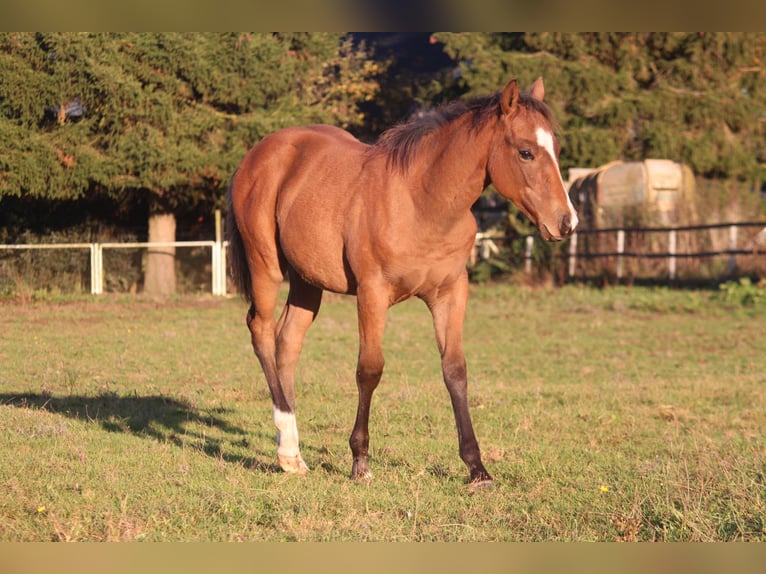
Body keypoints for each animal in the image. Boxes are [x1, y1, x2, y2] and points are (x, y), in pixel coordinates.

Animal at [225, 79, 580, 488]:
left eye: (556, 149)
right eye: (525, 152)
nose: (567, 222)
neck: (422, 201)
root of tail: (259, 153)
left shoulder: (450, 294)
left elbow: (455, 370)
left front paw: (477, 468)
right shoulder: (372, 293)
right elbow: (369, 370)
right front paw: (360, 462)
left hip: (306, 281)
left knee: (288, 344)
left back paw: (292, 453)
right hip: (265, 266)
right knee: (262, 332)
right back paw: (286, 443)